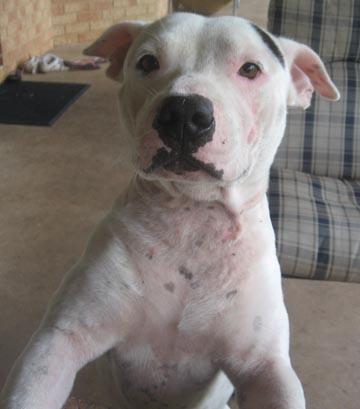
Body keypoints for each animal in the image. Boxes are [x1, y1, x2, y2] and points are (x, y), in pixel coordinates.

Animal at [0, 11, 338, 408]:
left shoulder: (264, 368)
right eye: (147, 62)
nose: (184, 113)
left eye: (250, 69)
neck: (194, 218)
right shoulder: (60, 339)